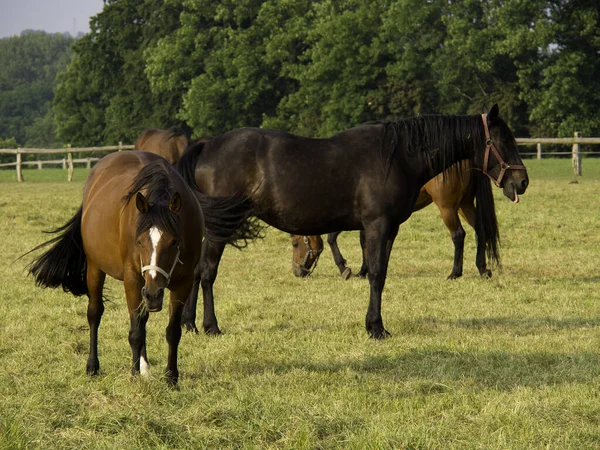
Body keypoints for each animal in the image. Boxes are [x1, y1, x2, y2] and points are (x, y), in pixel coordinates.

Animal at [290, 157, 502, 278]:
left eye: (295, 243)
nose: (297, 271)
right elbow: (365, 242)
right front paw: (365, 270)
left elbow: (333, 238)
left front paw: (345, 269)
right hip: (464, 205)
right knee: (481, 229)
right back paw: (483, 269)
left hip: (448, 208)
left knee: (458, 235)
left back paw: (455, 273)